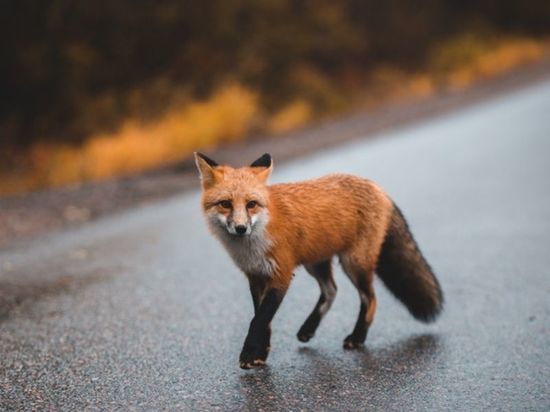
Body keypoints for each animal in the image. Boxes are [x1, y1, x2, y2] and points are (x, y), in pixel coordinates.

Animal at [194, 152, 444, 370]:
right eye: (225, 204)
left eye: (251, 204)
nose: (241, 228)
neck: (255, 242)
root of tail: (378, 188)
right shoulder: (256, 276)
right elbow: (262, 319)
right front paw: (261, 353)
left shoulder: (281, 275)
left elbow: (259, 320)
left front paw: (249, 354)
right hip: (316, 263)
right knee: (331, 290)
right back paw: (309, 328)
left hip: (354, 263)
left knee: (370, 299)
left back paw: (358, 337)